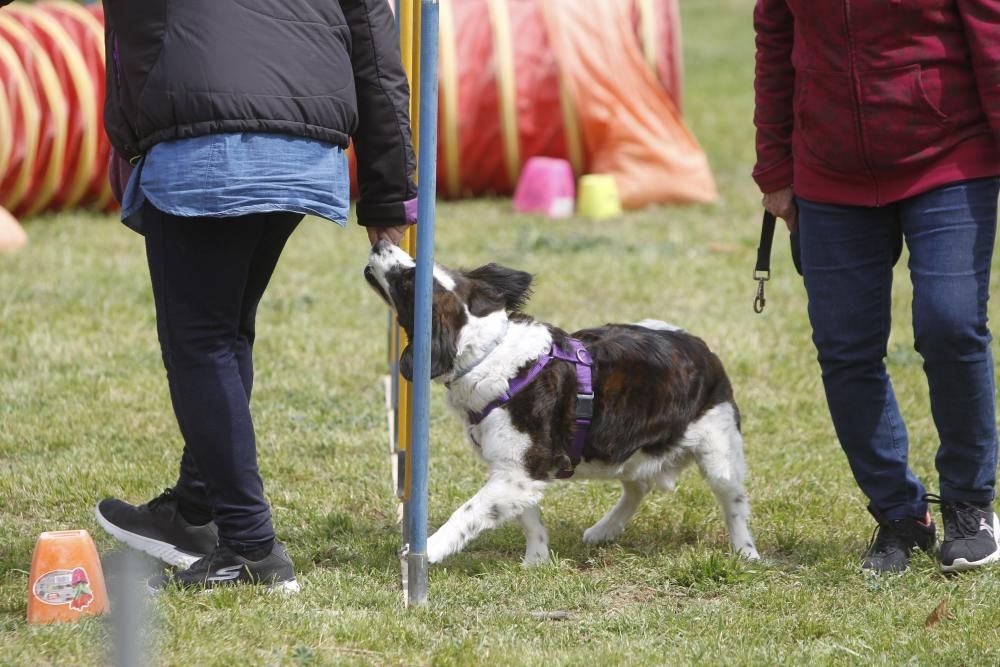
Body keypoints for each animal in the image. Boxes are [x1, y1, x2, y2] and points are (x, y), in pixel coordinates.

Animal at [366, 243, 756, 568]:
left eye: (407, 281)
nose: (381, 243)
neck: (487, 354)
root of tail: (698, 345)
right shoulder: (518, 471)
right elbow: (529, 519)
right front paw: (537, 561)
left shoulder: (520, 470)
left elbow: (469, 511)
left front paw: (428, 549)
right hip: (627, 450)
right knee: (638, 486)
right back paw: (604, 530)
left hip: (718, 453)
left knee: (734, 503)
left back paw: (746, 553)